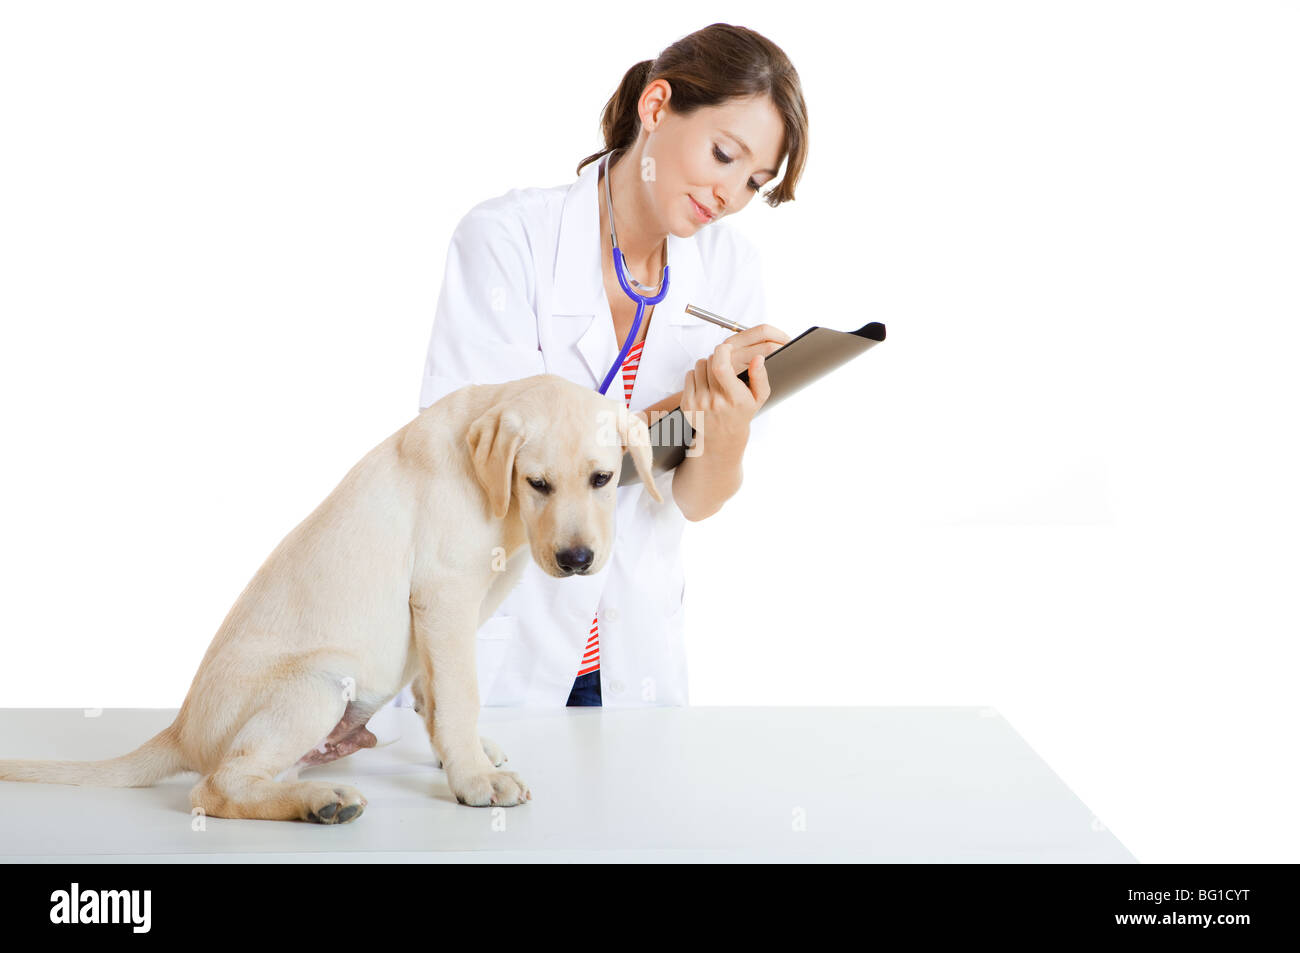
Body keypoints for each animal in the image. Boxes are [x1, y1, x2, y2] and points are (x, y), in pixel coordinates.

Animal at [0, 374, 660, 821]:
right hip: (315, 684)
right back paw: (320, 802)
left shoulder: (443, 617)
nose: (577, 561)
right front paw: (473, 779)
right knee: (214, 788)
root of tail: (181, 731)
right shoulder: (444, 597)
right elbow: (461, 695)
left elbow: (437, 698)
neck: (497, 498)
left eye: (603, 479)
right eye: (537, 483)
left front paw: (464, 756)